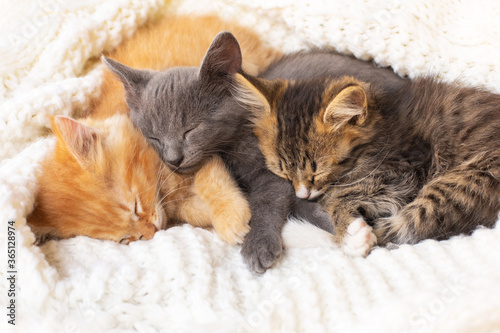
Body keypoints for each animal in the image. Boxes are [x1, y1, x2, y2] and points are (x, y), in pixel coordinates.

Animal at [27, 15, 282, 244]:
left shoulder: (204, 151)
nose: (150, 233)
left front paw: (230, 218)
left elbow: (209, 179)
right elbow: (187, 210)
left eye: (135, 206)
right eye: (124, 239)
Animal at [103, 31, 334, 272]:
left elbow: (268, 200)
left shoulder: (275, 169)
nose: (174, 158)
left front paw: (259, 244)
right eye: (153, 136)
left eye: (191, 129)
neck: (230, 143)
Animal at [236, 57, 498, 254]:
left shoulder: (405, 168)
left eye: (318, 171)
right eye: (282, 171)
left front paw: (350, 232)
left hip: (467, 181)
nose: (302, 194)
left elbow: (342, 195)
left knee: (404, 229)